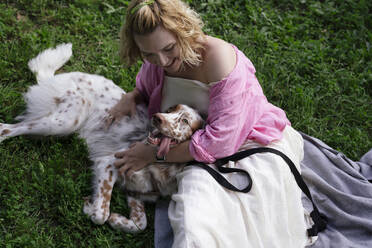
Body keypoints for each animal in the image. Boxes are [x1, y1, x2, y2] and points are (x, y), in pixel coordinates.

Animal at [0, 44, 203, 232]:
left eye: (185, 120)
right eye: (170, 110)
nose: (157, 117)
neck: (159, 165)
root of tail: (54, 78)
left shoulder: (135, 191)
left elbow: (140, 224)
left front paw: (116, 220)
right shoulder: (108, 163)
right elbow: (101, 214)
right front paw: (91, 208)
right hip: (66, 120)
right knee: (6, 129)